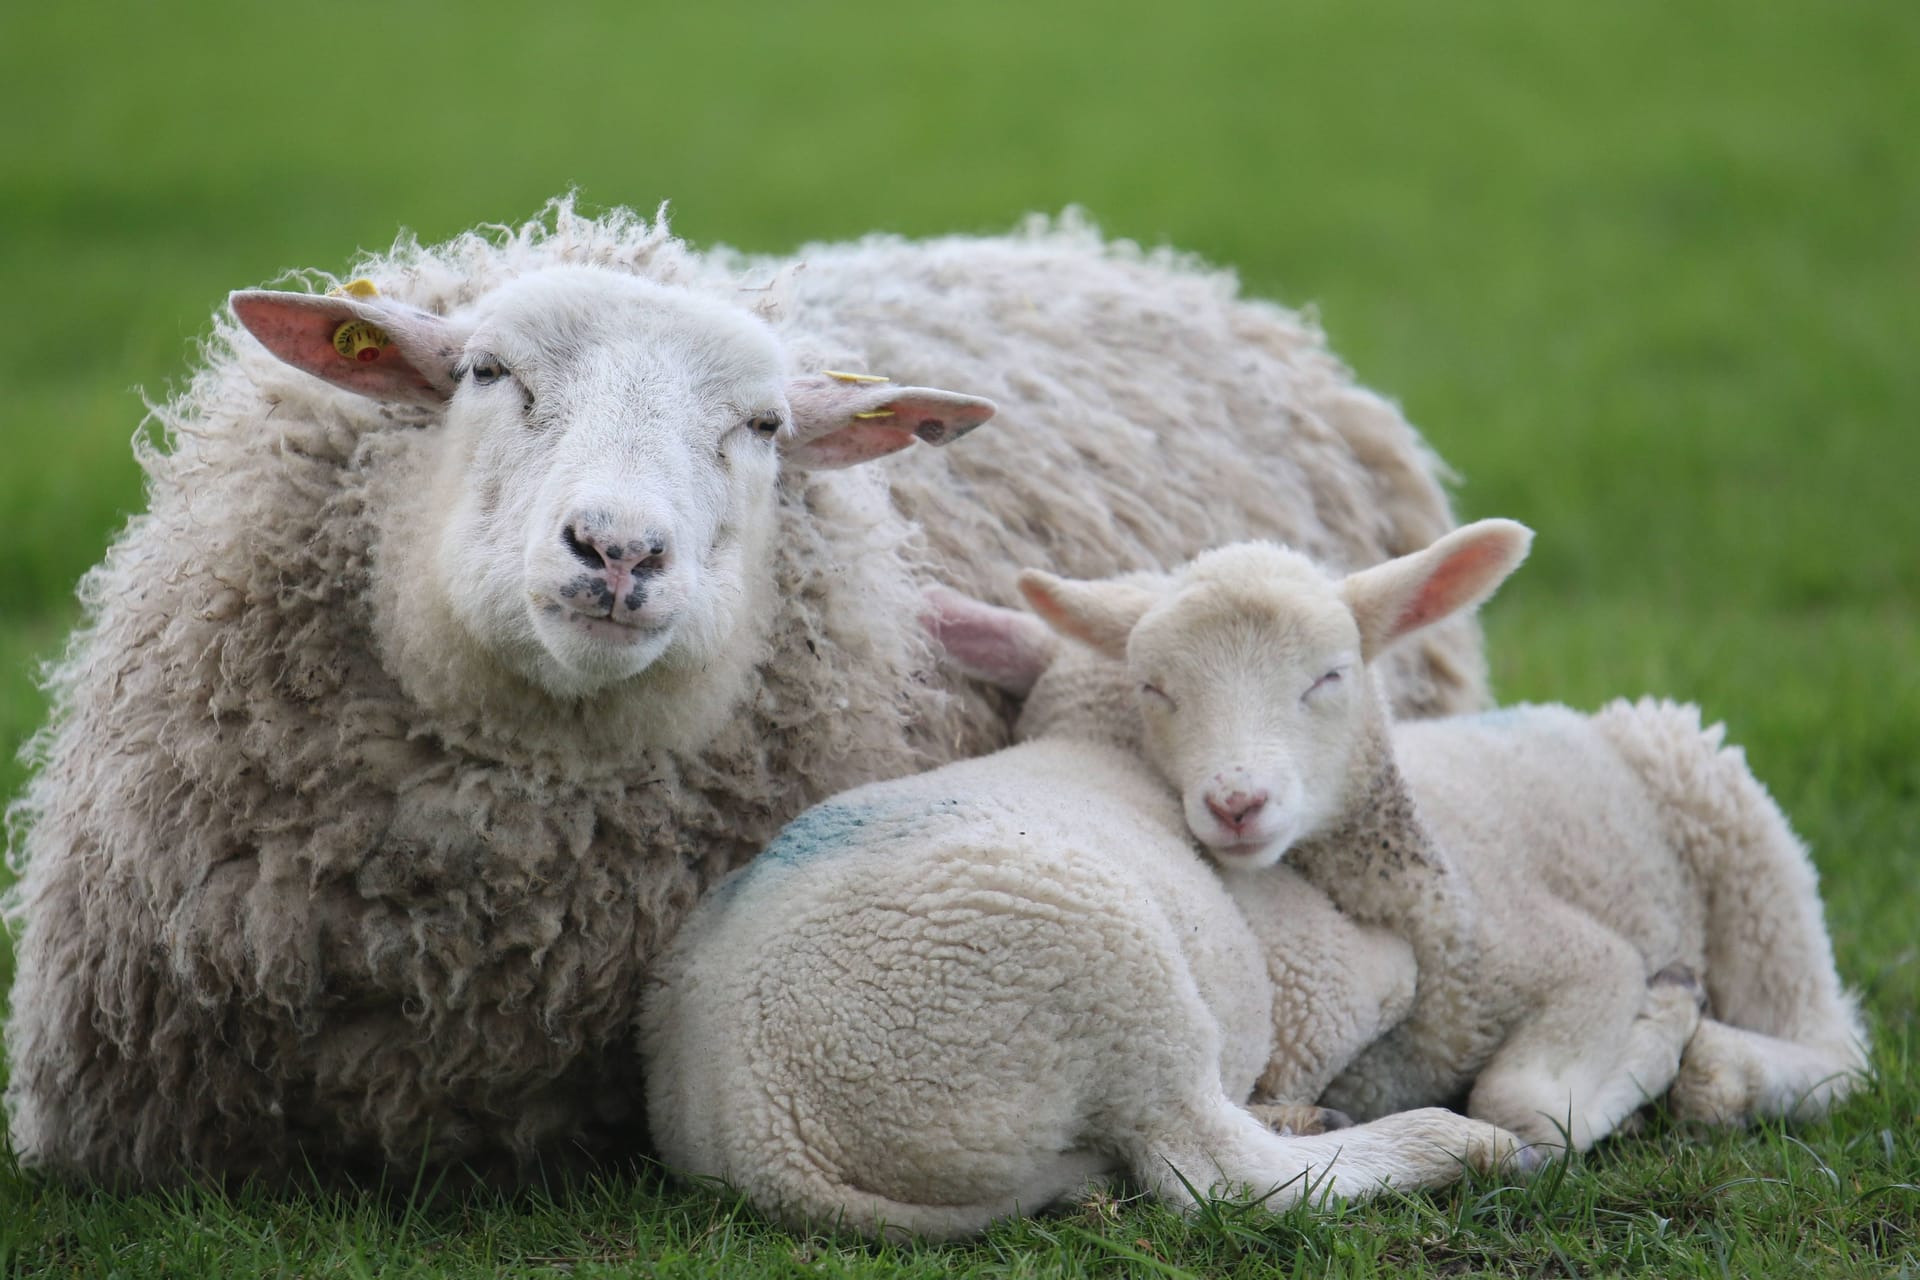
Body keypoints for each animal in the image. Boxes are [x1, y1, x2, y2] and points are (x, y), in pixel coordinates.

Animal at [641, 587, 1528, 1235]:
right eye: (1162, 688)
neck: (1096, 736)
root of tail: (769, 1144)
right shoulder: (1310, 965)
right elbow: (1389, 975)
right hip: (1110, 979)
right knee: (1222, 1174)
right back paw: (1457, 1143)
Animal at [1029, 521, 1866, 1151]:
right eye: (1154, 689)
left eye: (1329, 676)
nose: (1236, 802)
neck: (1434, 897)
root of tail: (1580, 714)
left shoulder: (1590, 960)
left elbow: (1518, 1105)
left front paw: (1657, 1028)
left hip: (1743, 843)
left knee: (1831, 1044)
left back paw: (1725, 1061)